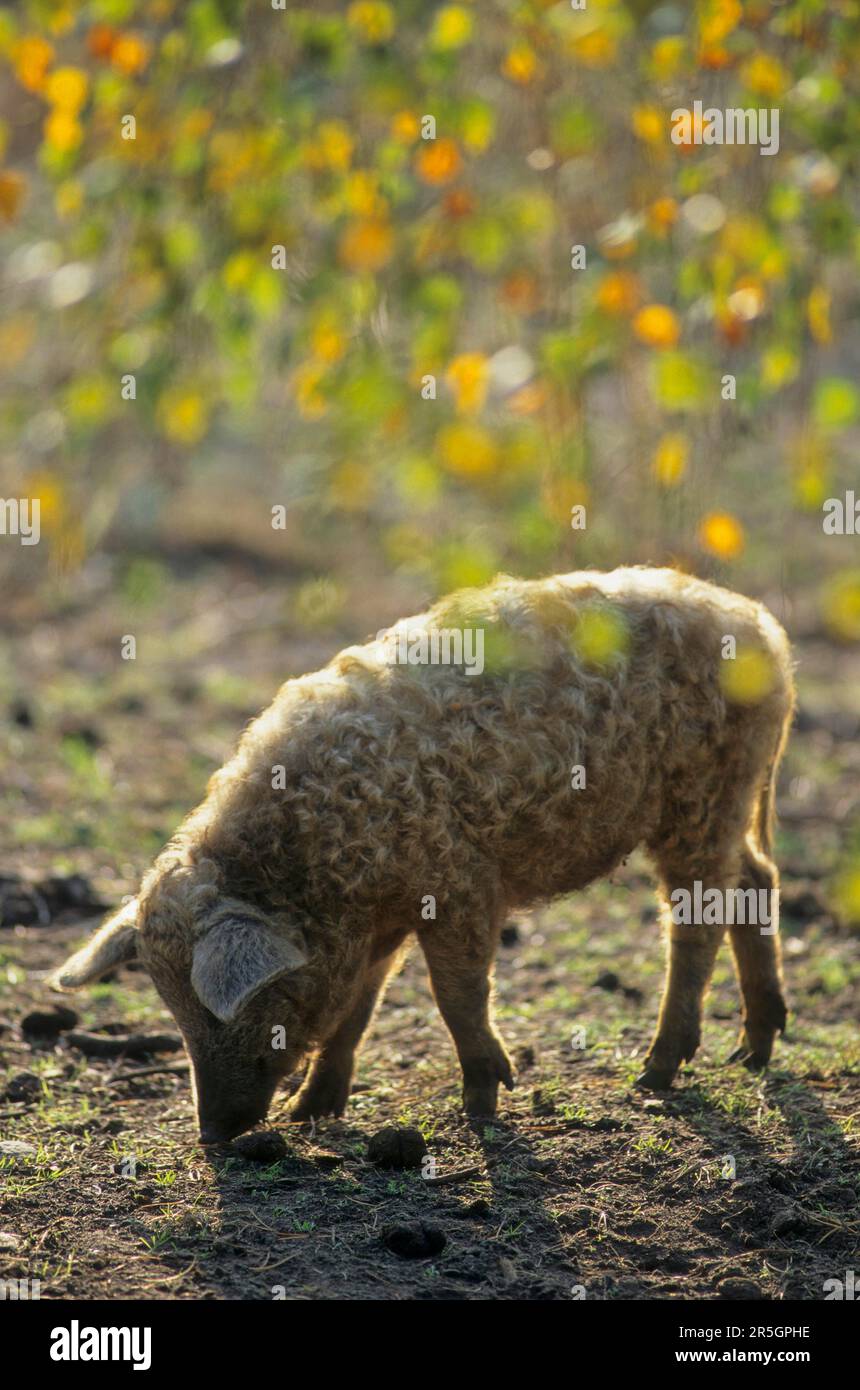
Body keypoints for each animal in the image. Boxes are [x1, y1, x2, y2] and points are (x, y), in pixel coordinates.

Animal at [52, 564, 794, 1139]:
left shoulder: (460, 884)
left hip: (703, 794)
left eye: (220, 1004)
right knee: (757, 879)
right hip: (729, 799)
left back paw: (654, 1074)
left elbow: (454, 994)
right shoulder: (376, 925)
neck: (314, 864)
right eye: (170, 1005)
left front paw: (486, 1103)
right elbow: (360, 1007)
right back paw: (751, 1054)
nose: (209, 1135)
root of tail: (763, 625)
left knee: (699, 916)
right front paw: (309, 1114)